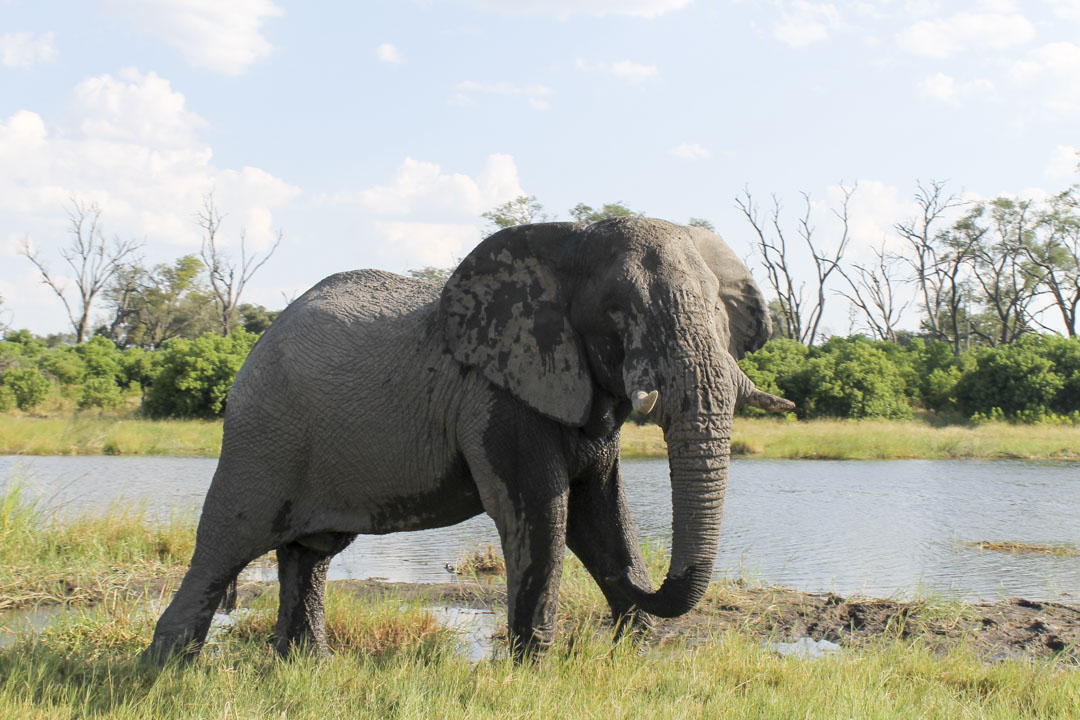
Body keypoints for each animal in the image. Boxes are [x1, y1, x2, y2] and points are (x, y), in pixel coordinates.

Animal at [142, 217, 793, 662]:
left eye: (719, 312)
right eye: (616, 311)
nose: (647, 582)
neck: (567, 243)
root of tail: (255, 346)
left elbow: (600, 516)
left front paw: (638, 651)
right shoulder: (495, 399)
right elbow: (544, 514)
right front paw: (533, 668)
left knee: (309, 553)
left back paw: (305, 664)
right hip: (262, 431)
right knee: (227, 541)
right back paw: (167, 667)